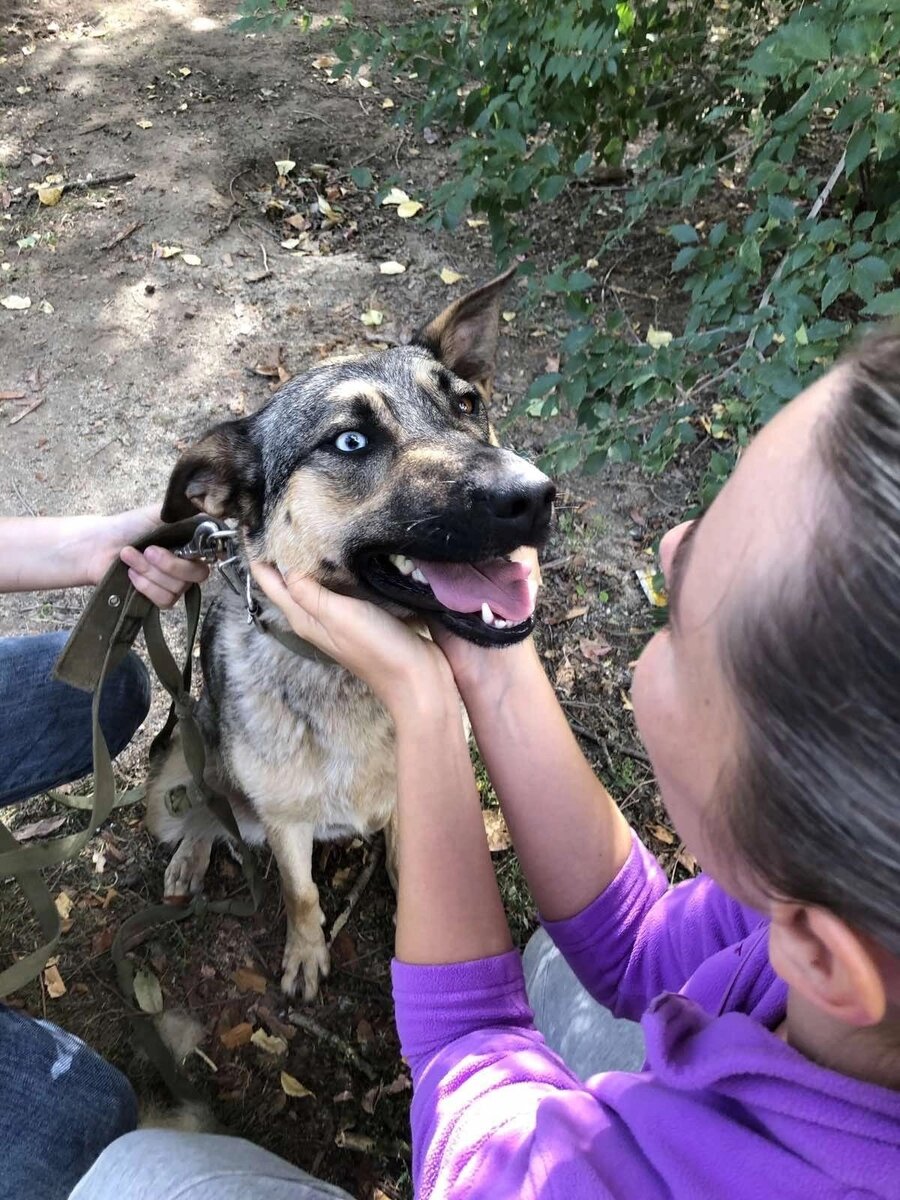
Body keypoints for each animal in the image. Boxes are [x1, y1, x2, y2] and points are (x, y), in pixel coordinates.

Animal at [148, 267, 556, 998]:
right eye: (350, 441)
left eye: (467, 403)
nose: (537, 496)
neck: (348, 680)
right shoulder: (285, 825)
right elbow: (301, 893)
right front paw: (306, 953)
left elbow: (408, 866)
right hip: (192, 749)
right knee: (209, 807)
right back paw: (191, 854)